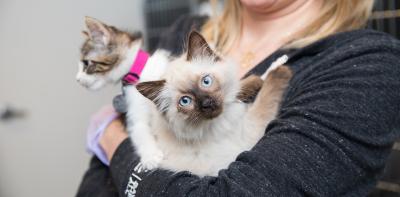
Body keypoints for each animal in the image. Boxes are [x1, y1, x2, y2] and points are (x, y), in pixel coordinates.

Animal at [136, 31, 292, 176]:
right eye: (185, 101)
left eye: (206, 81)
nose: (206, 103)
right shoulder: (248, 131)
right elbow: (267, 94)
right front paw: (280, 70)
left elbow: (244, 85)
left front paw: (273, 66)